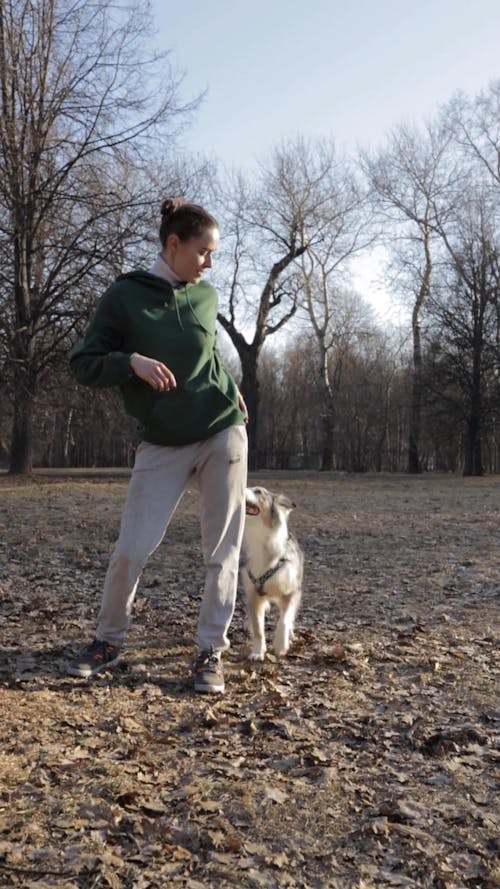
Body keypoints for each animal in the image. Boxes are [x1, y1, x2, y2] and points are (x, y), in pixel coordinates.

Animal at [240, 486, 302, 660]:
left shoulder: (291, 591)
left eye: (258, 491)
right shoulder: (253, 593)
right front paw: (257, 652)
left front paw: (281, 645)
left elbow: (284, 620)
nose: (241, 488)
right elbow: (258, 628)